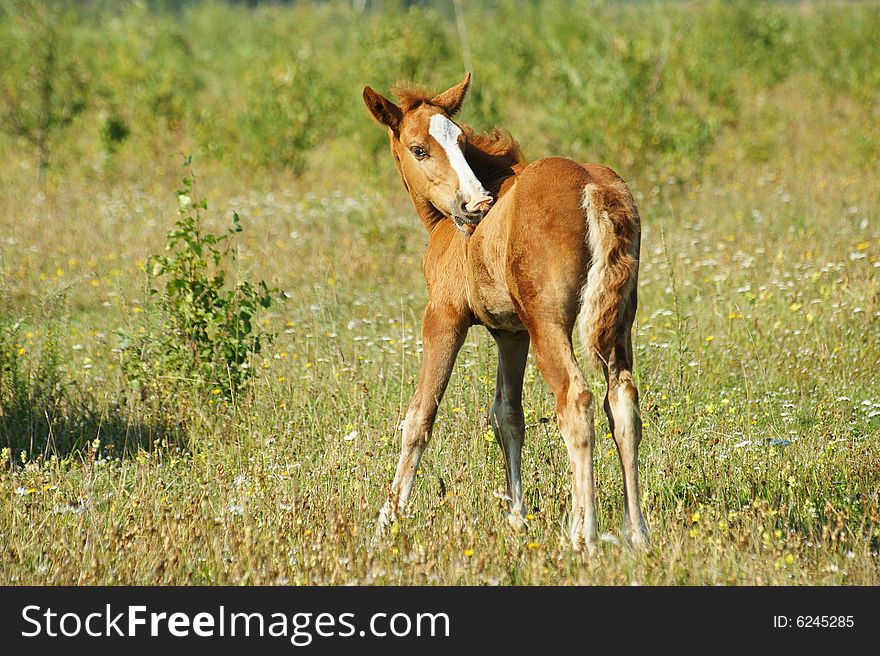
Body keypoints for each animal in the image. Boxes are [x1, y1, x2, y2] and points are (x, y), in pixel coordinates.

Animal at [362, 74, 648, 552]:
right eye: (420, 148)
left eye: (459, 140)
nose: (476, 204)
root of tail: (593, 186)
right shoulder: (512, 334)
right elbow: (508, 416)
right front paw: (517, 519)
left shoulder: (444, 318)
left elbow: (420, 416)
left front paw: (387, 521)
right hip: (616, 323)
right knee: (622, 403)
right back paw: (637, 532)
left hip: (550, 323)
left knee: (577, 401)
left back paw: (584, 535)